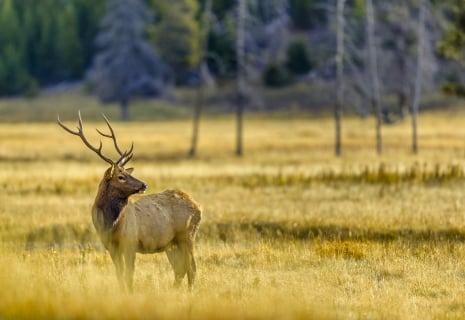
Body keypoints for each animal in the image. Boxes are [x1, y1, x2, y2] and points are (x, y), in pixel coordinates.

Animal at [56, 112, 201, 290]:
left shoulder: (130, 243)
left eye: (126, 173)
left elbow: (129, 275)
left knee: (192, 268)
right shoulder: (111, 247)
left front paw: (130, 292)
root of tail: (198, 207)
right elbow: (119, 274)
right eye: (121, 176)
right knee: (180, 269)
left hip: (187, 236)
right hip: (171, 243)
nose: (144, 184)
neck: (110, 225)